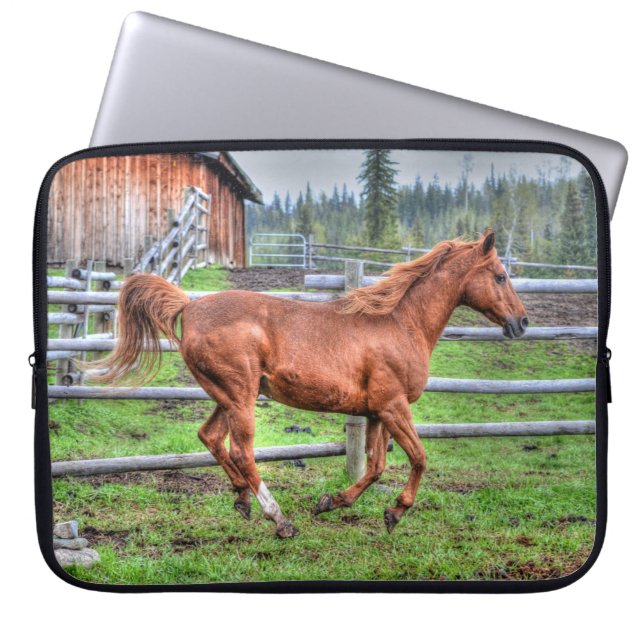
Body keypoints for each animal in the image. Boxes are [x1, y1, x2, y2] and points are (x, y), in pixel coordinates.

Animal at [89, 229, 528, 538]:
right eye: (500, 276)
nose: (522, 322)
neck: (400, 324)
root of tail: (189, 306)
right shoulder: (393, 406)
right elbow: (418, 458)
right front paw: (395, 512)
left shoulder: (377, 412)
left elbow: (375, 466)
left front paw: (331, 502)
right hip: (241, 397)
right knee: (242, 452)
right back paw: (279, 520)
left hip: (228, 396)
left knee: (211, 438)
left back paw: (242, 500)